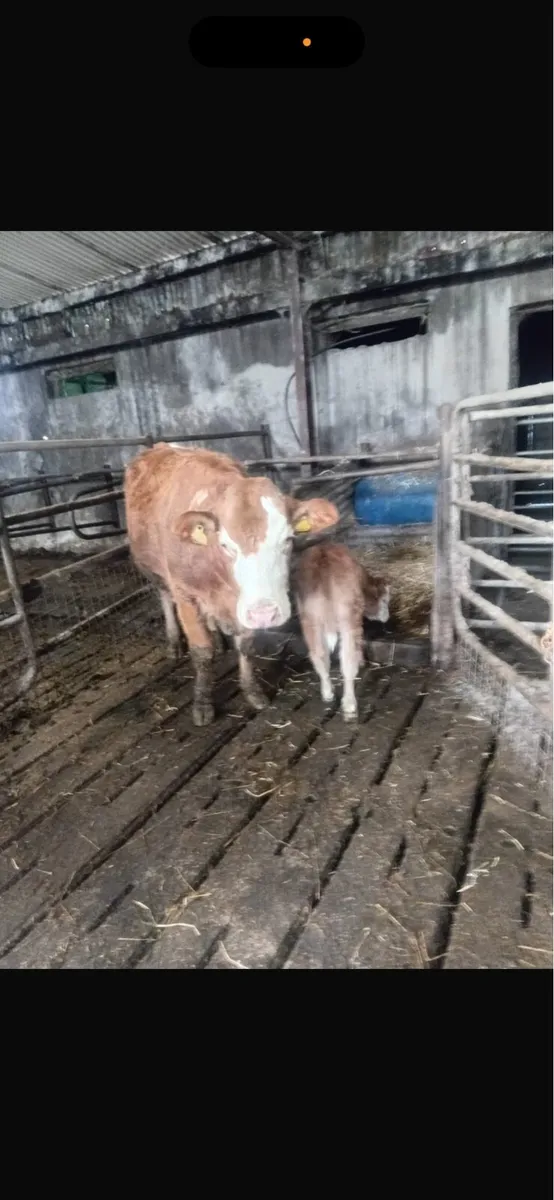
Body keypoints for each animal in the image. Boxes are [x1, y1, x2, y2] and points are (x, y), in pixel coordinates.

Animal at [124, 442, 339, 726]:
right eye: (225, 545)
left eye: (288, 539)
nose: (265, 613)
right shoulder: (186, 595)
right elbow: (202, 652)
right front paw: (202, 703)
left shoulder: (244, 606)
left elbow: (245, 646)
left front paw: (252, 691)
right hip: (151, 569)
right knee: (164, 598)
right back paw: (174, 642)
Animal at [292, 542, 390, 721]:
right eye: (385, 600)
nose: (387, 617)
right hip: (348, 618)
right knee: (348, 660)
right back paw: (350, 703)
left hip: (310, 619)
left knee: (319, 655)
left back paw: (327, 692)